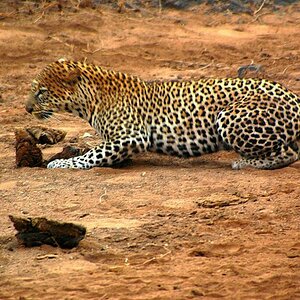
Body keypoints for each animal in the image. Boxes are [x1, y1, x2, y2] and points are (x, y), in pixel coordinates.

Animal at [25, 59, 300, 170]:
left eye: (41, 92)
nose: (26, 109)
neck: (90, 100)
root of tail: (294, 96)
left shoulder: (131, 136)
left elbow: (91, 155)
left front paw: (59, 163)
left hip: (229, 117)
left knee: (287, 154)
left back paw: (244, 162)